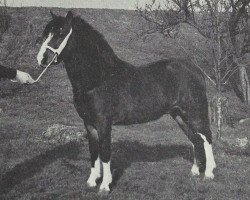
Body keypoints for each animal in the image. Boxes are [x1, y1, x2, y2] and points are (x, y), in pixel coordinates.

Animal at [36, 11, 215, 195]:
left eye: (61, 33)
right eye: (45, 34)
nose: (42, 59)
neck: (99, 79)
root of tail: (196, 70)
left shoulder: (104, 123)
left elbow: (105, 153)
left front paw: (105, 186)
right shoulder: (89, 123)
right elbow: (94, 152)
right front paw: (92, 182)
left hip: (195, 113)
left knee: (207, 137)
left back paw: (209, 174)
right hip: (179, 115)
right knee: (195, 139)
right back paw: (195, 172)